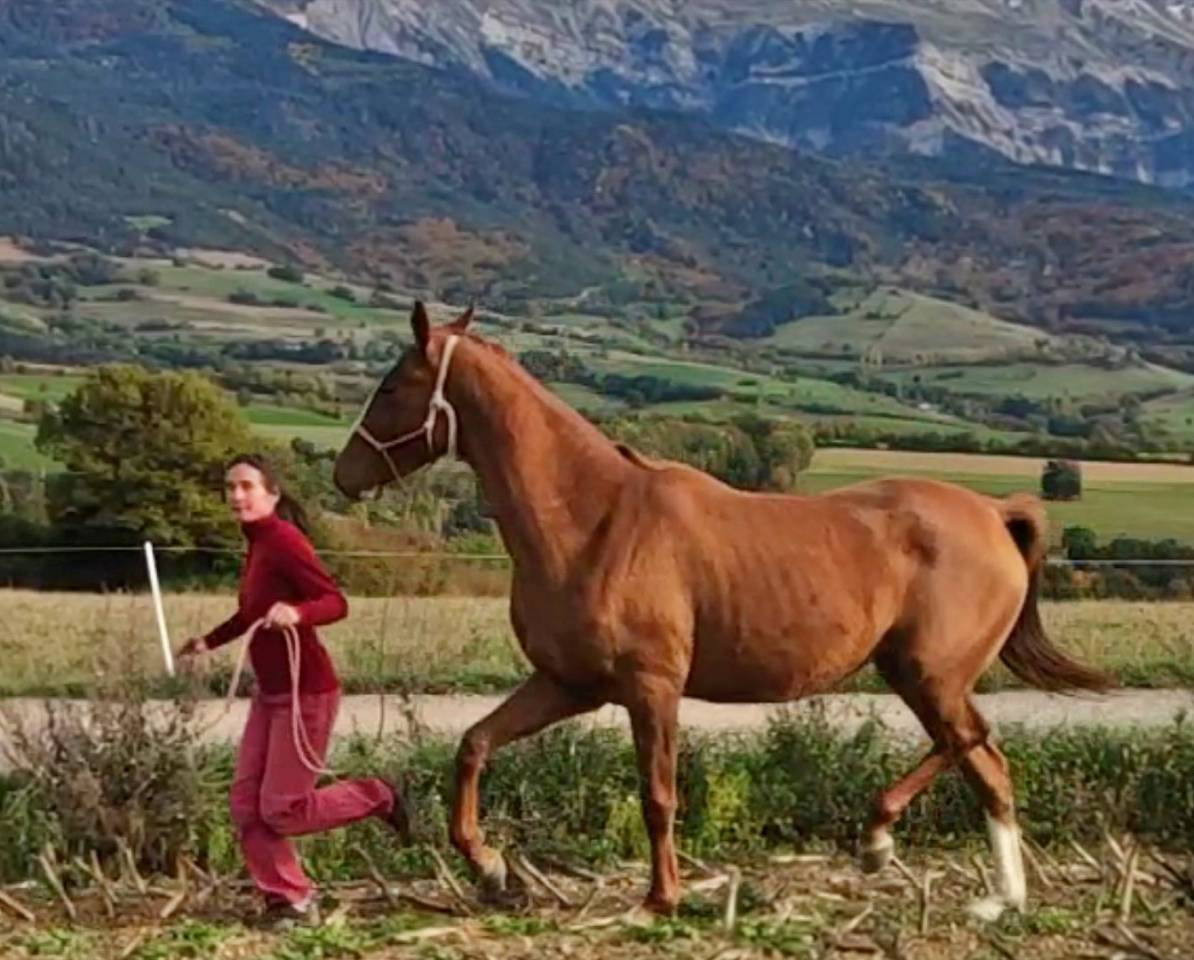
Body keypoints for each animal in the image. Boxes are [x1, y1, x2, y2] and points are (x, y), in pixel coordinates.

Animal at [332, 302, 1114, 921]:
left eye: (393, 384)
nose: (343, 474)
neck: (591, 520)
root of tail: (993, 513)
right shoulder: (570, 685)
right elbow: (474, 745)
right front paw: (494, 872)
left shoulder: (651, 688)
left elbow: (657, 795)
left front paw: (659, 900)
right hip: (921, 677)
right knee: (989, 766)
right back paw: (998, 899)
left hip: (929, 675)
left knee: (971, 742)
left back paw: (877, 840)